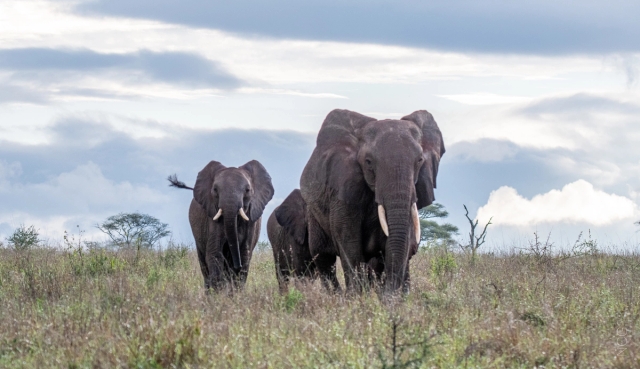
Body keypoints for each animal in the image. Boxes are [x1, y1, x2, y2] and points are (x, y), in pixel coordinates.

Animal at [168, 160, 272, 288]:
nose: (237, 265)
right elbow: (215, 253)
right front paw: (219, 291)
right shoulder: (212, 217)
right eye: (215, 190)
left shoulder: (251, 221)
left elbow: (244, 254)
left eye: (247, 190)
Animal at [300, 108, 444, 294]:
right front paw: (358, 298)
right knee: (323, 257)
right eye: (368, 162)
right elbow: (347, 238)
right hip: (313, 213)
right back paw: (336, 296)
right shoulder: (343, 186)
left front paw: (390, 296)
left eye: (419, 161)